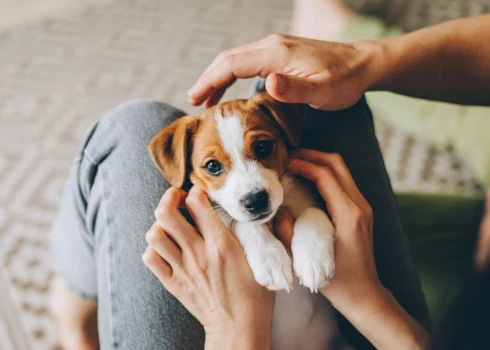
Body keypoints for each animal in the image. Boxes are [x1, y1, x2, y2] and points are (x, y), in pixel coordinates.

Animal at [149, 92, 348, 350]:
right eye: (212, 166)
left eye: (263, 147)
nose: (255, 200)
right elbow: (243, 223)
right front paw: (270, 259)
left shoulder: (314, 199)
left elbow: (312, 211)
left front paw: (313, 260)